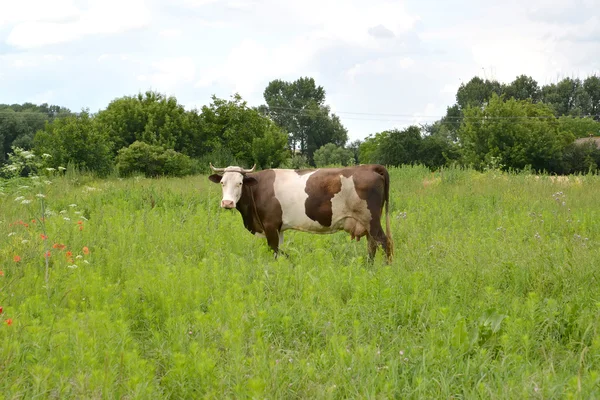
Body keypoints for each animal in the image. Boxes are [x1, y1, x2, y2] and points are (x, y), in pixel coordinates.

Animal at [206, 162, 394, 262]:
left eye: (239, 183)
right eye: (222, 182)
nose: (227, 203)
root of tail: (370, 167)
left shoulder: (270, 225)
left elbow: (274, 249)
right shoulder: (278, 228)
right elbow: (279, 249)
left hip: (371, 220)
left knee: (383, 242)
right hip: (367, 223)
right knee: (372, 245)